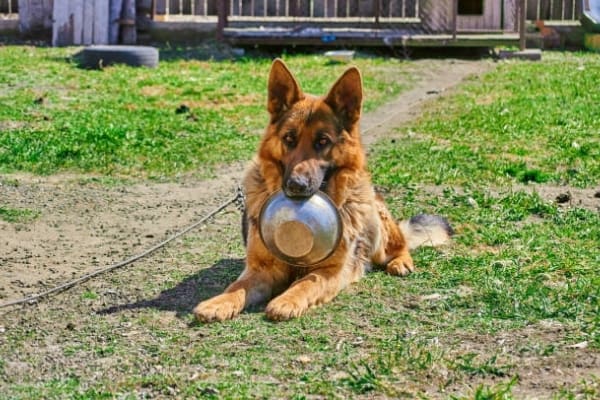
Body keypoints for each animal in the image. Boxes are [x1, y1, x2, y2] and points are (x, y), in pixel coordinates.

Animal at [192, 58, 450, 322]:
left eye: (323, 141)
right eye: (289, 139)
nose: (296, 186)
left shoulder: (331, 271)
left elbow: (306, 282)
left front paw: (286, 301)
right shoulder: (262, 269)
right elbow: (238, 287)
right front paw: (218, 303)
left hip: (376, 223)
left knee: (398, 245)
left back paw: (401, 262)